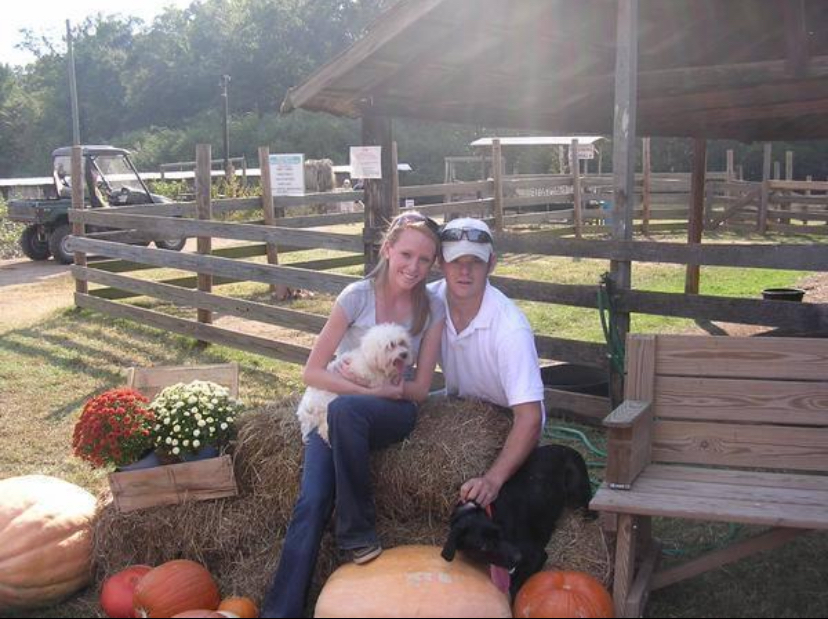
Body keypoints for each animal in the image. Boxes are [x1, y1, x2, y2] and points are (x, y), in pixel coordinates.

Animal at [444, 444, 592, 600]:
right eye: (484, 546)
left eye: (500, 533)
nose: (518, 557)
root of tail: (568, 448)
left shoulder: (538, 555)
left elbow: (515, 588)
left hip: (576, 491)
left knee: (588, 498)